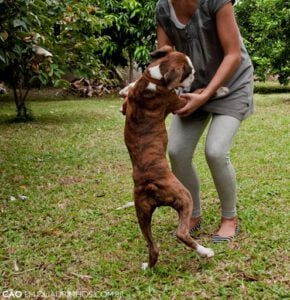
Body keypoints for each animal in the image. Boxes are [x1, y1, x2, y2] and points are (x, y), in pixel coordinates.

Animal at [121, 45, 214, 268]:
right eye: (188, 72)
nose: (195, 75)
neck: (154, 78)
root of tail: (150, 184)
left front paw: (126, 88)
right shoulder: (179, 103)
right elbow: (198, 94)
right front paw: (219, 89)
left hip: (142, 214)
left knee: (152, 247)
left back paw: (148, 265)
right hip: (185, 197)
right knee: (181, 233)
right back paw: (206, 252)